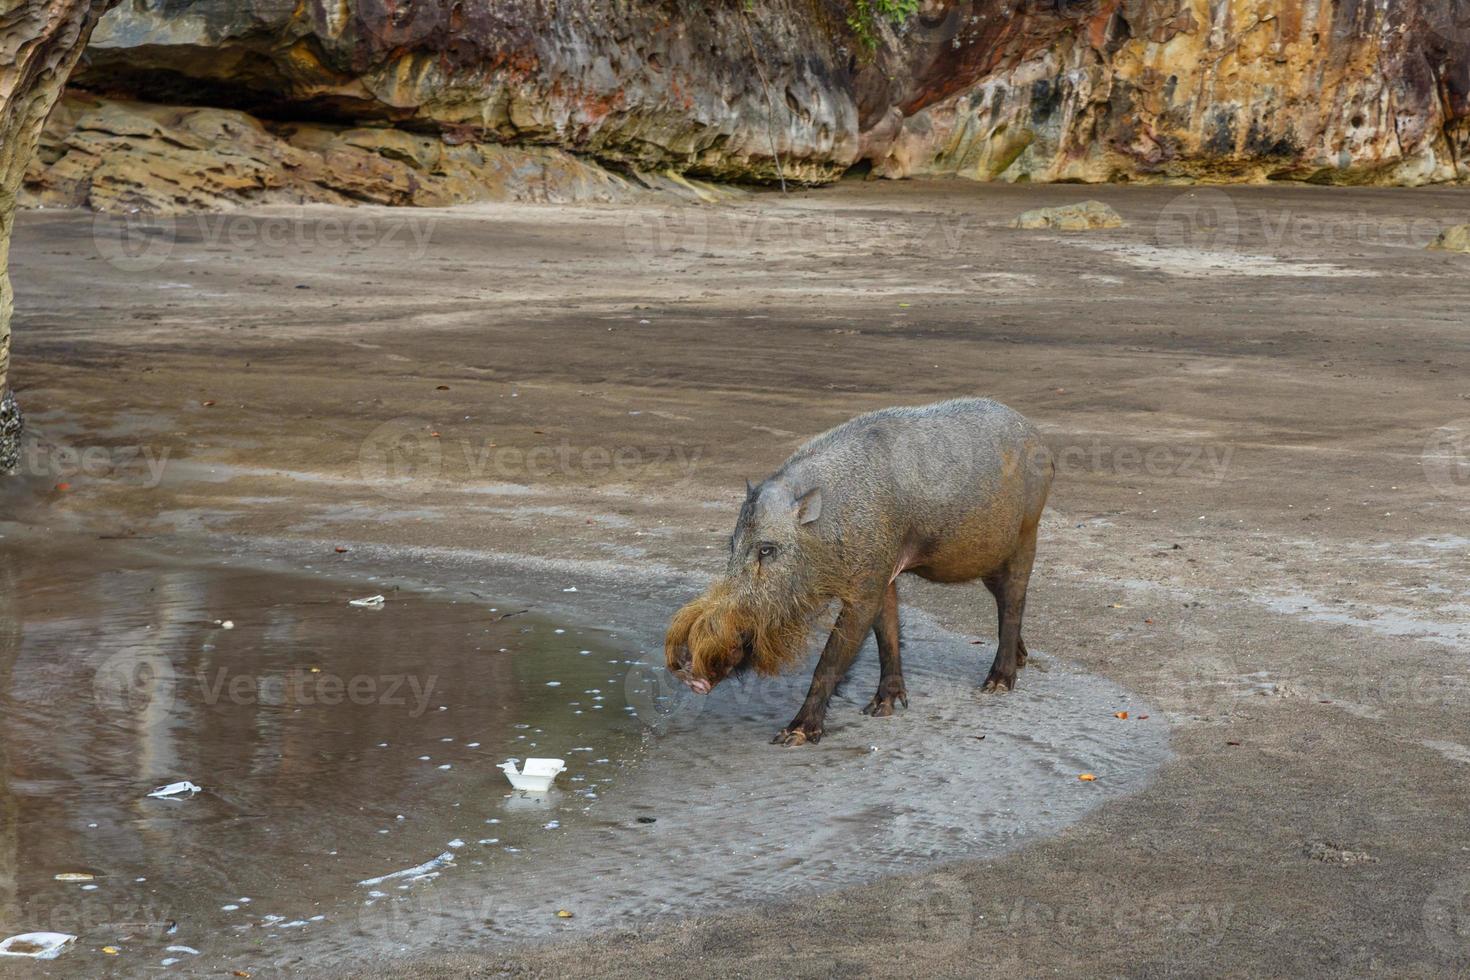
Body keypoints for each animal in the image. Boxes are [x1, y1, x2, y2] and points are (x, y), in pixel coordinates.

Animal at [667, 396, 1058, 743]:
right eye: (731, 547)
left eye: (767, 549)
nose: (687, 670)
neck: (826, 530)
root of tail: (1039, 438)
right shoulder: (884, 572)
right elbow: (887, 634)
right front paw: (881, 708)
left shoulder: (867, 584)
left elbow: (831, 660)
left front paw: (793, 735)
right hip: (990, 558)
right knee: (1003, 599)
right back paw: (1020, 659)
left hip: (1027, 534)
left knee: (1014, 599)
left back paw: (997, 684)